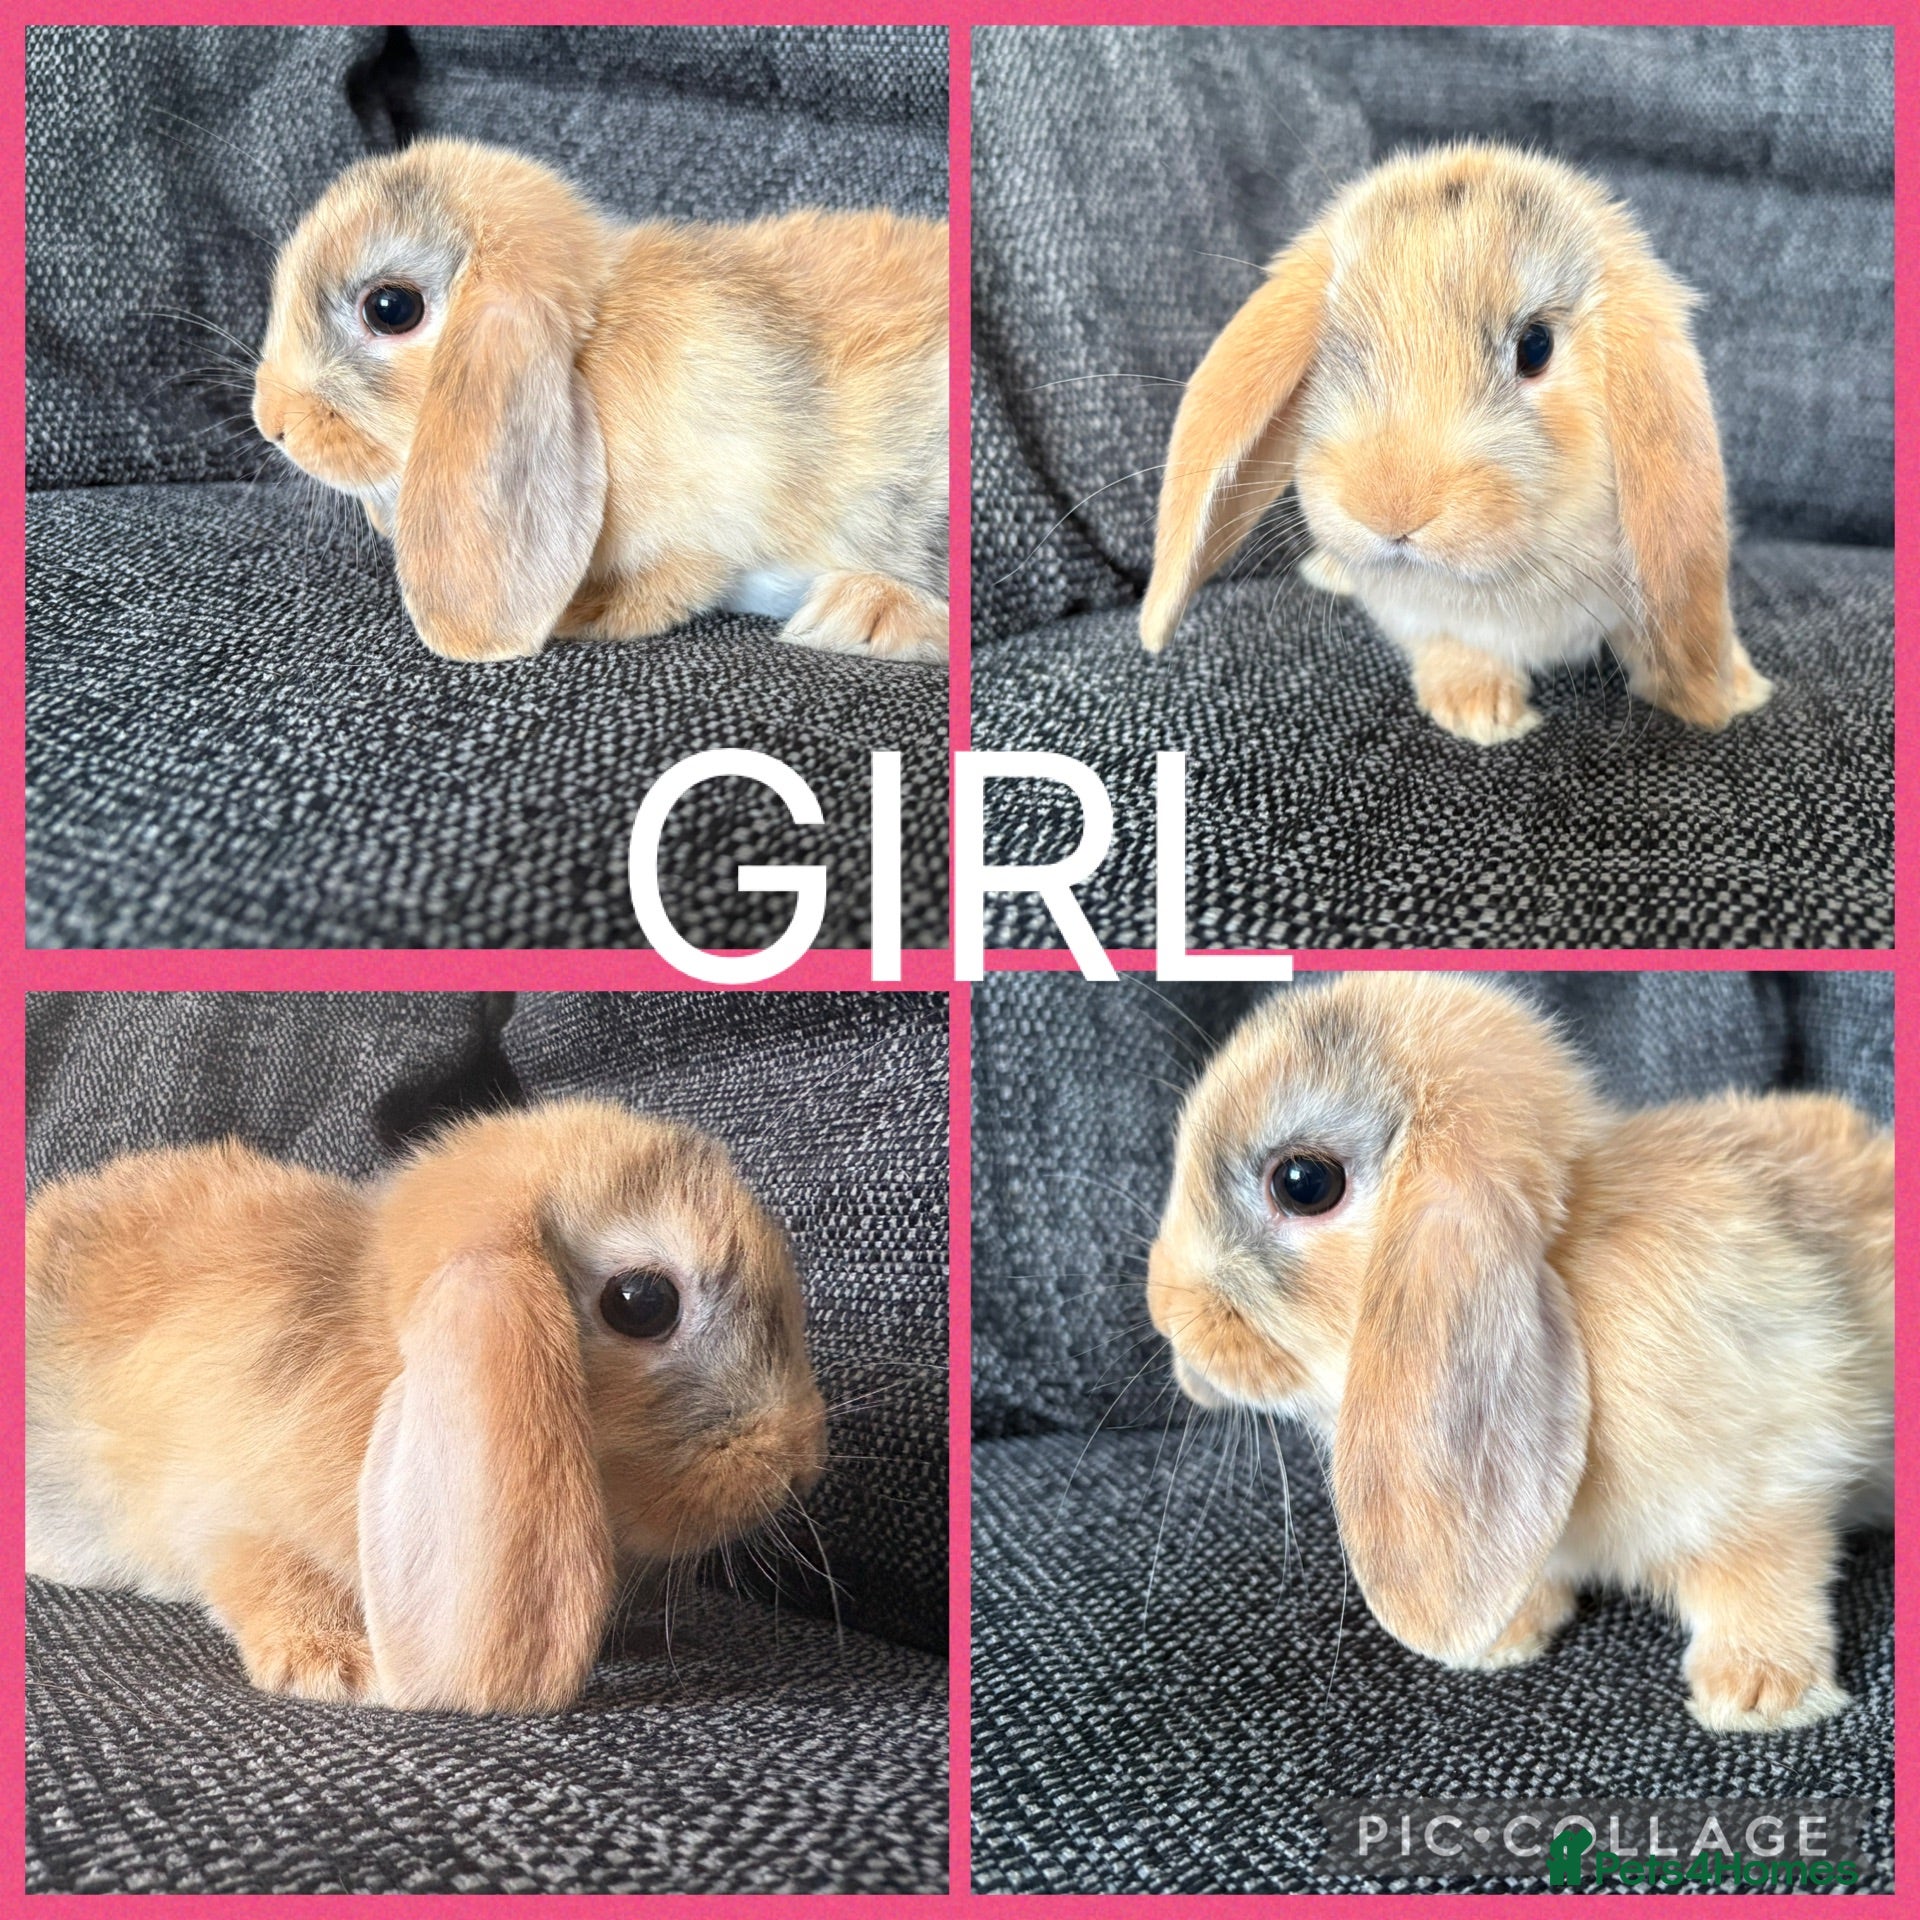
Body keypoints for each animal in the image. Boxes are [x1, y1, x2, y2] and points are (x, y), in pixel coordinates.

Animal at [25, 1099, 828, 1714]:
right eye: (642, 1302)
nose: (803, 1466)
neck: (378, 1339)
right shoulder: (229, 1518)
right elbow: (266, 1576)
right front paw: (343, 1668)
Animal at [251, 137, 948, 665]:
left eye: (391, 309)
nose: (271, 422)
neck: (591, 352)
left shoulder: (712, 518)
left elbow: (666, 588)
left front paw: (579, 615)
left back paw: (861, 614)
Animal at [1140, 141, 1770, 745]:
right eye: (1326, 351)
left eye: (1535, 346)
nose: (1390, 511)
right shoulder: (1415, 615)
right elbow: (1450, 645)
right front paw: (1481, 713)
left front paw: (1739, 689)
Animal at [1147, 974, 1892, 1732]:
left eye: (1303, 1183)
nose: (1165, 1314)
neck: (1567, 1268)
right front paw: (1500, 1640)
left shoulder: (1777, 1465)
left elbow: (1764, 1570)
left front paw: (1759, 1695)